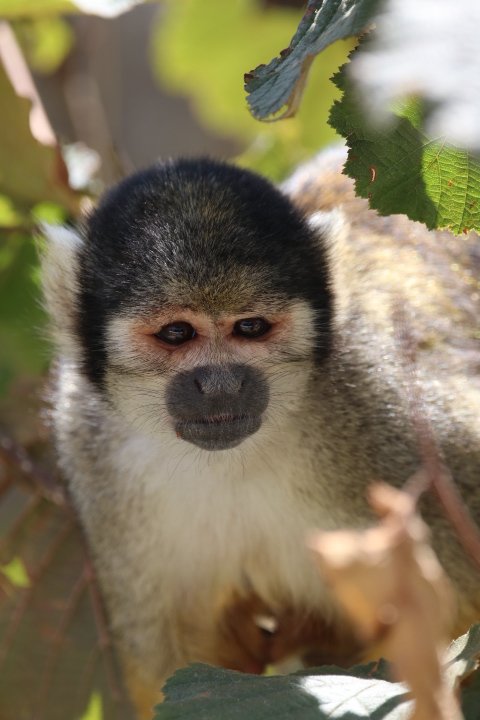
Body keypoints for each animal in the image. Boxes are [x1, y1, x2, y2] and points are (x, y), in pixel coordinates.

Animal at [41, 144, 480, 717]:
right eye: (176, 333)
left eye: (250, 328)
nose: (220, 384)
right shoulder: (89, 442)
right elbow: (176, 663)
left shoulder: (386, 404)